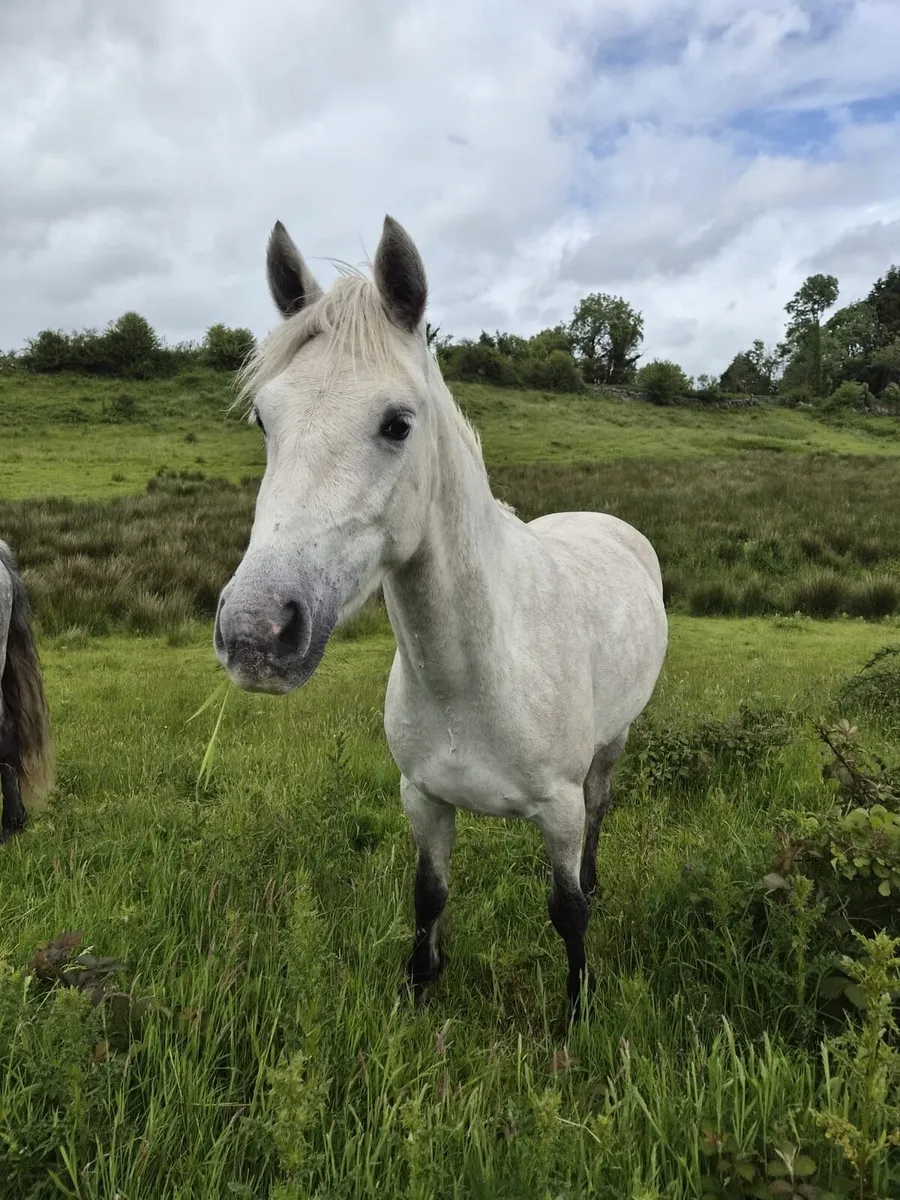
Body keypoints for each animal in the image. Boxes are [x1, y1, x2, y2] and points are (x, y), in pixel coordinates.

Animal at [214, 216, 668, 1016]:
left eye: (398, 424)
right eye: (265, 418)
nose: (255, 633)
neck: (472, 674)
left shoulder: (557, 810)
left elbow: (566, 911)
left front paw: (578, 1009)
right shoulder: (423, 801)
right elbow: (428, 896)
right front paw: (419, 992)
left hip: (611, 746)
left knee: (601, 811)